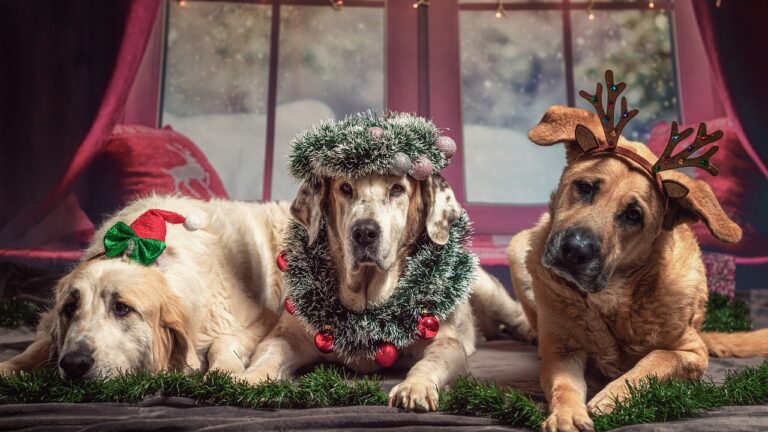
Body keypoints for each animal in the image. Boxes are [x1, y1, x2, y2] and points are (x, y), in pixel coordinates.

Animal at [0, 197, 288, 380]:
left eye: (122, 308)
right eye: (70, 308)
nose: (74, 363)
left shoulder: (259, 319)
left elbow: (222, 342)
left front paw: (225, 373)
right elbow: (37, 347)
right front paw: (8, 367)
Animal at [236, 173, 536, 412]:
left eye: (397, 189)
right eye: (345, 187)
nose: (365, 232)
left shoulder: (446, 342)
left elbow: (430, 361)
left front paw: (414, 388)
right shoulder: (288, 334)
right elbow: (270, 352)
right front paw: (250, 377)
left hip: (485, 287)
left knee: (514, 311)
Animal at [508, 105, 768, 432]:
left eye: (633, 215)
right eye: (585, 188)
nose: (575, 250)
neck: (613, 297)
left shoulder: (692, 352)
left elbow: (655, 361)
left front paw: (614, 396)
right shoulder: (561, 352)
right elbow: (564, 385)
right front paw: (566, 414)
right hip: (518, 249)